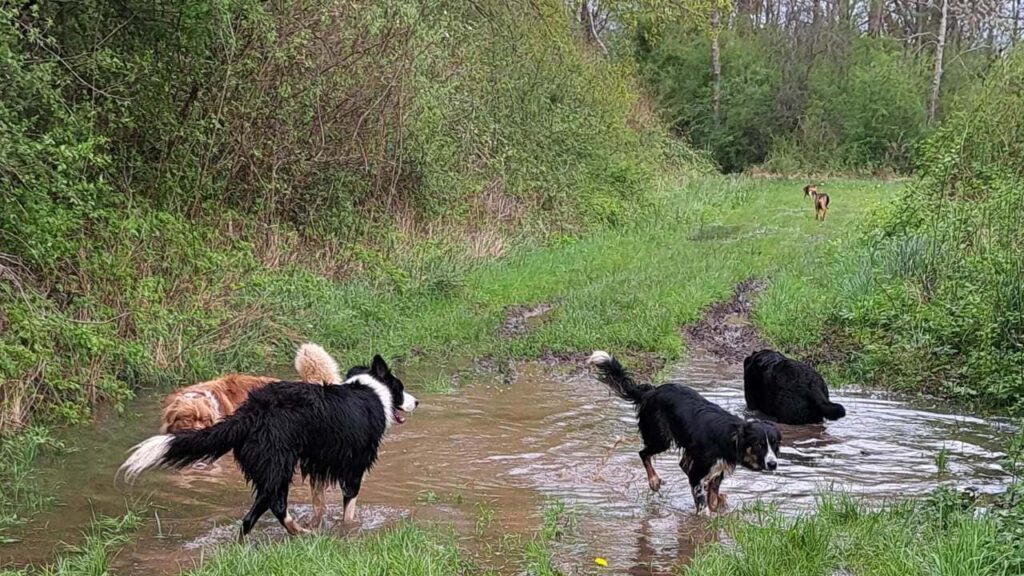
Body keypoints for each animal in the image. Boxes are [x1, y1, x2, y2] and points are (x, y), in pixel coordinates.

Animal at [121, 354, 417, 537]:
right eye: (400, 387)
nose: (417, 402)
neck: (371, 390)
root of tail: (251, 412)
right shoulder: (353, 468)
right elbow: (349, 510)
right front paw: (347, 531)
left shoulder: (317, 464)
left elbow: (319, 504)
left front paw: (319, 524)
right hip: (278, 466)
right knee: (273, 504)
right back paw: (299, 532)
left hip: (268, 465)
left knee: (250, 517)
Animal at [589, 350, 778, 516]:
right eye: (759, 445)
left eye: (775, 446)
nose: (773, 464)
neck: (730, 436)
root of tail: (651, 391)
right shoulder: (700, 469)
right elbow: (702, 503)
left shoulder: (718, 470)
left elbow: (712, 496)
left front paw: (717, 504)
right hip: (661, 438)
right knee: (644, 454)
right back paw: (654, 481)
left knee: (682, 464)